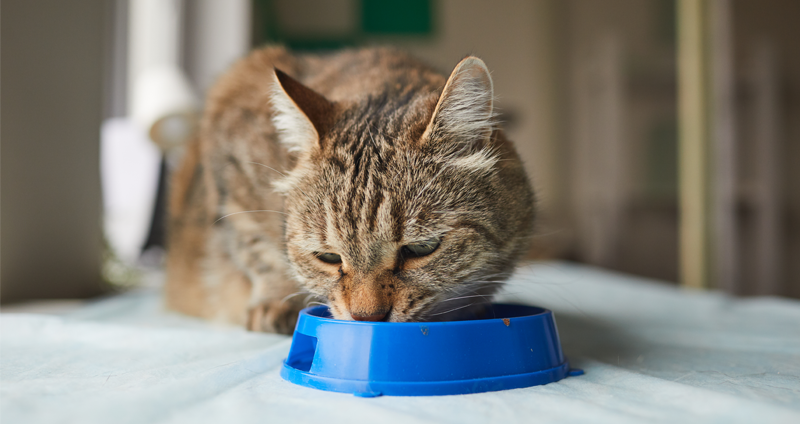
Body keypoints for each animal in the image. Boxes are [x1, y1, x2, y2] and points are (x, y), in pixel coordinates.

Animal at [165, 45, 536, 332]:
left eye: (421, 249)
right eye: (328, 257)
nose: (366, 316)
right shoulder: (229, 152)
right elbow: (256, 245)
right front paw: (276, 298)